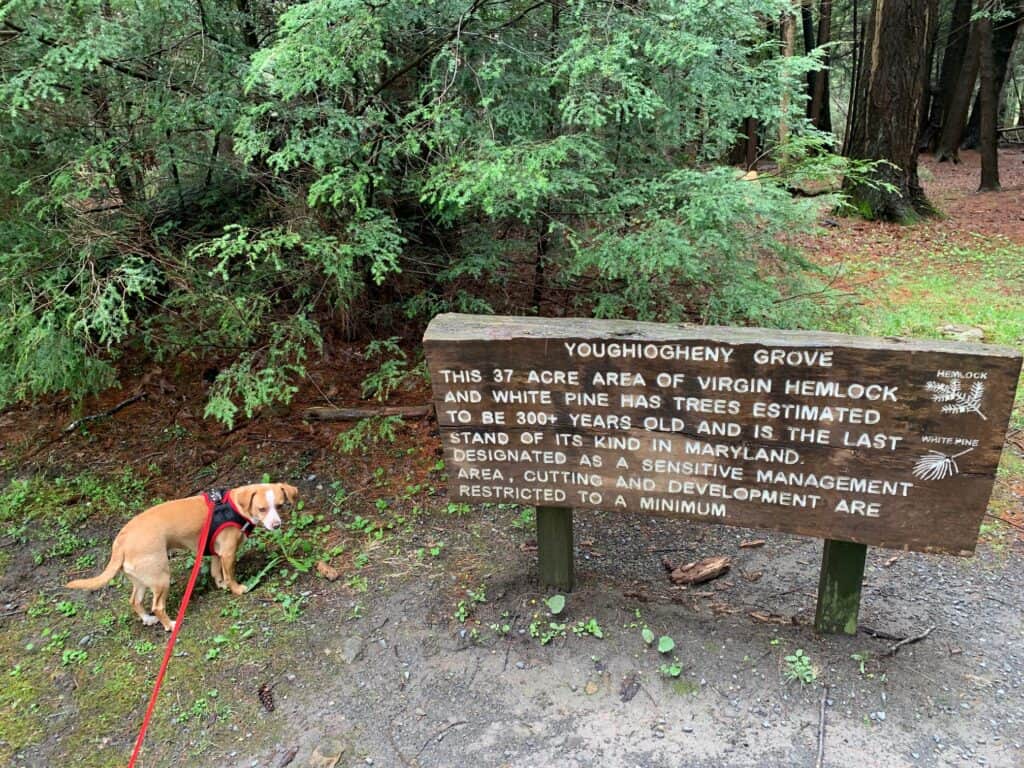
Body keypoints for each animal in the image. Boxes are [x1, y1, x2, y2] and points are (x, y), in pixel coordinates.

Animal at [66, 483, 299, 634]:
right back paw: (170, 625)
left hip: (142, 580)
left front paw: (221, 584)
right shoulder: (228, 552)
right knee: (158, 606)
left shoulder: (216, 551)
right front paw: (236, 588)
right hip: (162, 578)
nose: (277, 525)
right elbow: (230, 574)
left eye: (280, 506)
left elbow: (216, 571)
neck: (233, 506)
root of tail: (121, 542)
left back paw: (147, 619)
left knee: (135, 601)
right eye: (262, 509)